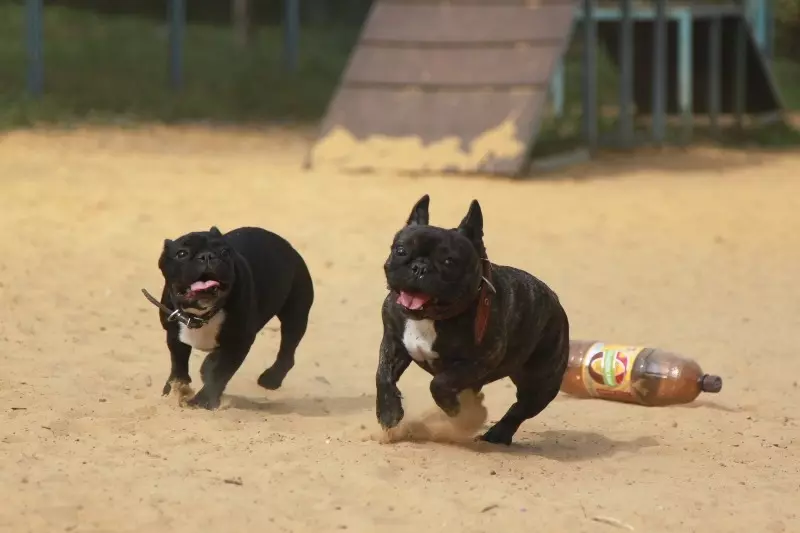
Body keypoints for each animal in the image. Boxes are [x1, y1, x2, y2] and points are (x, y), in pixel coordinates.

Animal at [153, 224, 312, 408]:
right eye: (181, 254)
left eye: (224, 252)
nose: (206, 256)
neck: (203, 315)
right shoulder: (174, 334)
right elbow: (178, 362)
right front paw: (175, 388)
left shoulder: (239, 342)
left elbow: (219, 370)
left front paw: (204, 400)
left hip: (295, 314)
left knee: (288, 348)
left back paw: (271, 378)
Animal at [376, 195, 568, 444]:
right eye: (401, 250)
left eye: (449, 261)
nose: (419, 267)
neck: (429, 317)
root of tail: (555, 301)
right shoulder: (393, 343)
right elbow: (383, 376)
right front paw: (389, 413)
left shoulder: (480, 360)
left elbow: (440, 382)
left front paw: (453, 409)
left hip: (541, 381)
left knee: (521, 408)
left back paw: (497, 433)